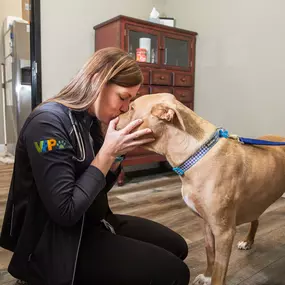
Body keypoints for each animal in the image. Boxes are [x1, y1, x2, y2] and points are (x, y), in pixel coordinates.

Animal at [116, 92, 285, 282]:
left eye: (131, 108)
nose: (112, 119)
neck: (196, 154)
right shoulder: (206, 223)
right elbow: (210, 253)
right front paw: (207, 276)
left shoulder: (224, 233)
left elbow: (219, 271)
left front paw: (213, 277)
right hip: (254, 201)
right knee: (255, 219)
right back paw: (248, 241)